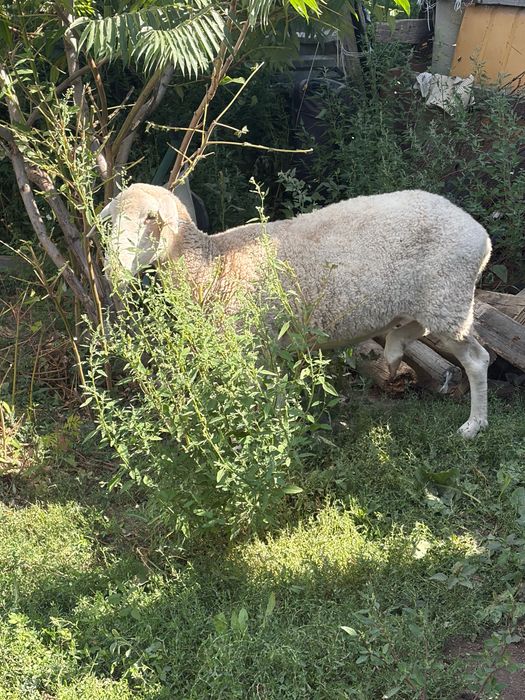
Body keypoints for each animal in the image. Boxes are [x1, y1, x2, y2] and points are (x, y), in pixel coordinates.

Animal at [101, 183, 492, 439]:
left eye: (150, 219)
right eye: (111, 221)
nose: (111, 271)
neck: (213, 265)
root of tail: (480, 235)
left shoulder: (251, 346)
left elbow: (258, 398)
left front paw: (265, 438)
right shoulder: (266, 348)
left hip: (446, 297)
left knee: (476, 360)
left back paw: (474, 425)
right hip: (434, 300)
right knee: (419, 329)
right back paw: (395, 348)